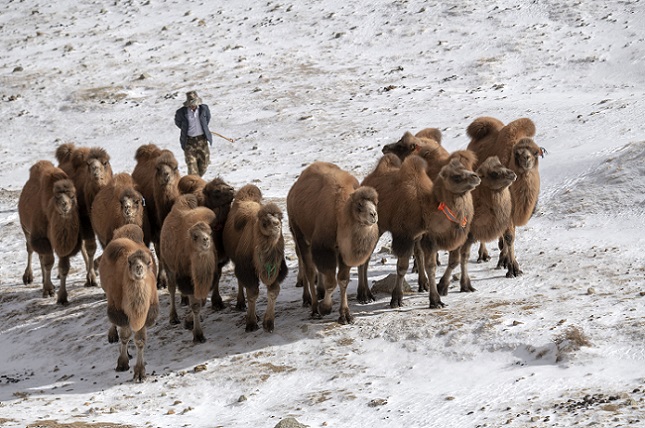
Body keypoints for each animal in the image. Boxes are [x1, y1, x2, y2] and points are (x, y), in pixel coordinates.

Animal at [18, 160, 82, 304]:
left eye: (72, 196)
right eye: (57, 197)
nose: (65, 205)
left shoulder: (64, 244)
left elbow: (63, 267)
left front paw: (62, 297)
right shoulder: (41, 238)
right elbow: (48, 263)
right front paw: (48, 291)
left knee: (40, 256)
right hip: (26, 228)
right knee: (30, 249)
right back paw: (28, 278)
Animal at [98, 224, 158, 382]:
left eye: (148, 262)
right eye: (130, 262)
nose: (139, 268)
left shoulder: (146, 313)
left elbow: (140, 340)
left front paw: (140, 373)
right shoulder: (119, 309)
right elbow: (124, 336)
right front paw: (122, 363)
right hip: (110, 297)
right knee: (114, 322)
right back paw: (113, 336)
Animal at [224, 186, 290, 332]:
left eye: (281, 218)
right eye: (265, 222)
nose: (277, 225)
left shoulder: (278, 269)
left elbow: (274, 291)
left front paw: (268, 323)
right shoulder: (246, 268)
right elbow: (253, 292)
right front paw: (251, 323)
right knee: (240, 281)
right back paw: (240, 303)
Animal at [286, 162, 378, 322]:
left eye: (375, 202)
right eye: (359, 205)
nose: (373, 214)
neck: (341, 215)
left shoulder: (342, 251)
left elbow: (343, 280)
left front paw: (345, 315)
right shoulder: (324, 247)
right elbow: (331, 282)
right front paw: (325, 308)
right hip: (298, 233)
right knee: (309, 271)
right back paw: (313, 307)